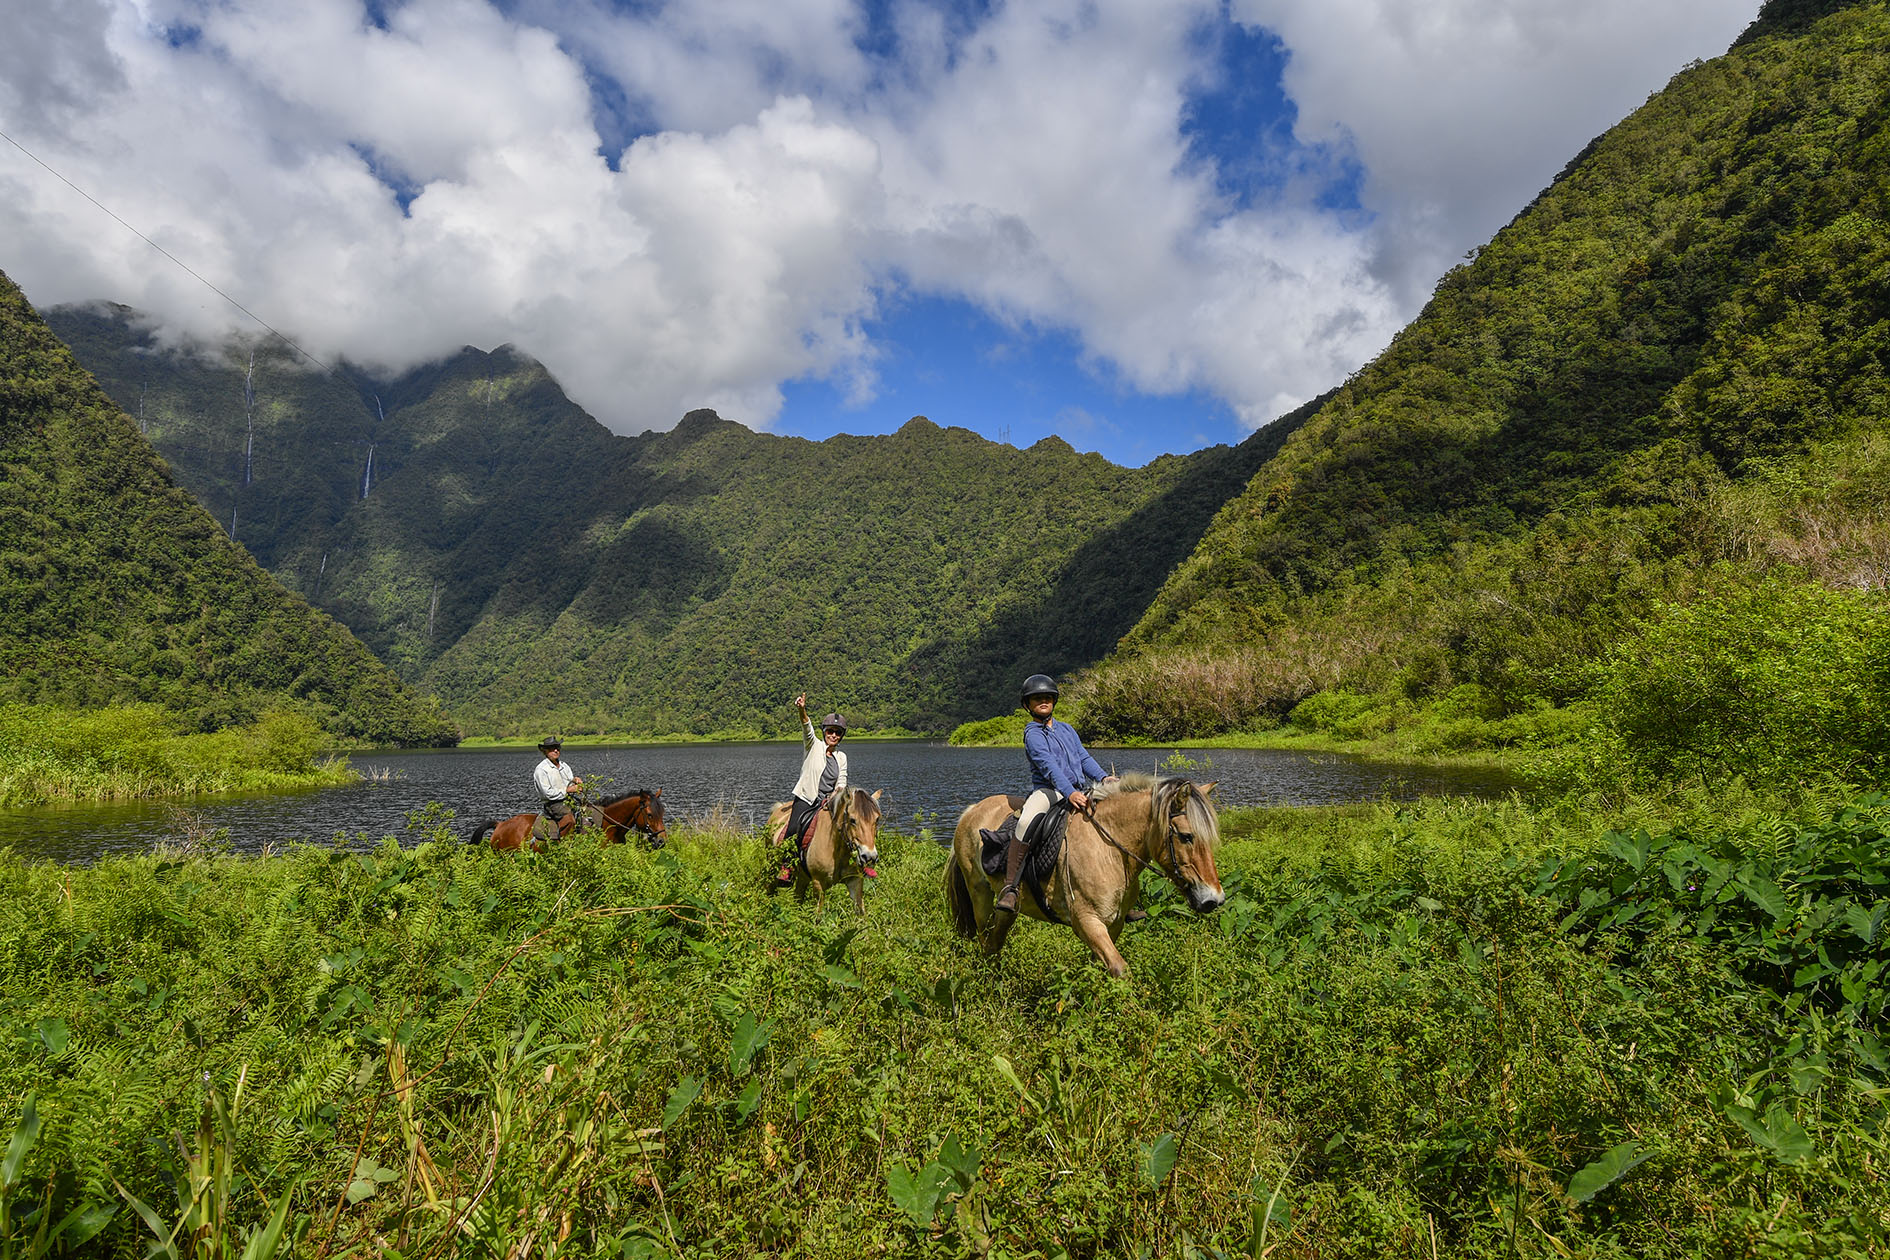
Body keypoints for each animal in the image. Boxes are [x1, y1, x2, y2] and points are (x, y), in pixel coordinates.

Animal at [763, 789, 880, 918]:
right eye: (852, 820)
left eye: (877, 819)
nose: (869, 857)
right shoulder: (818, 884)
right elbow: (818, 917)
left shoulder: (855, 880)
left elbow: (861, 913)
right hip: (772, 868)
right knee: (769, 889)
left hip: (802, 877)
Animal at [941, 774, 1224, 982]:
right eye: (1186, 836)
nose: (1214, 900)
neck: (1108, 848)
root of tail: (971, 811)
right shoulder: (1086, 921)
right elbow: (1120, 970)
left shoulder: (1114, 924)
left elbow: (1102, 966)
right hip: (980, 896)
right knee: (985, 938)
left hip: (1006, 910)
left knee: (995, 940)